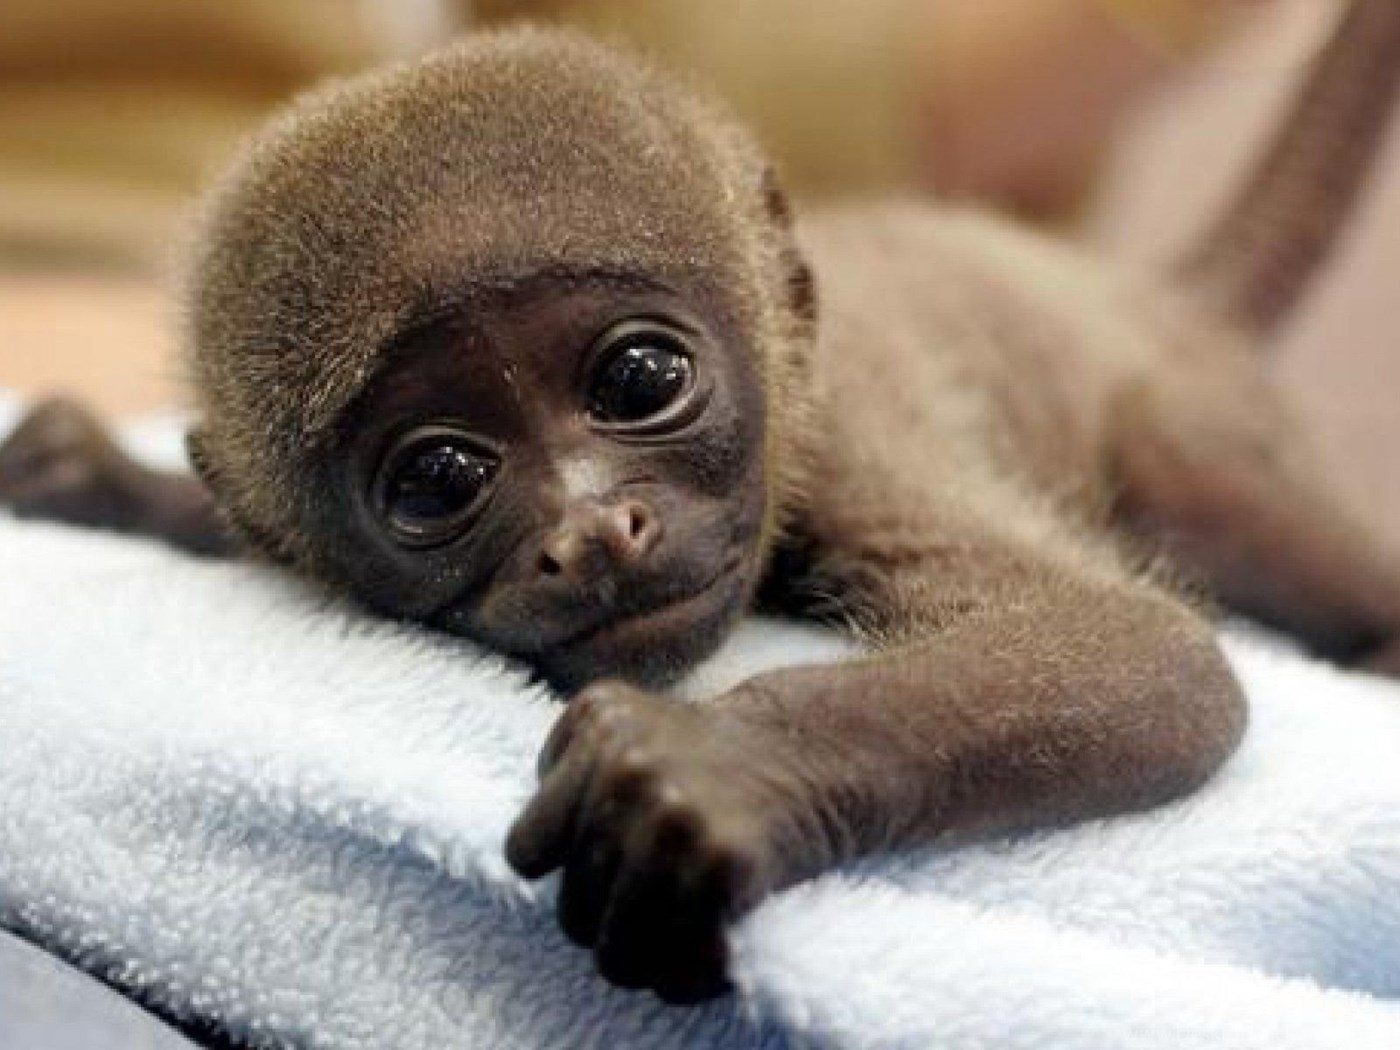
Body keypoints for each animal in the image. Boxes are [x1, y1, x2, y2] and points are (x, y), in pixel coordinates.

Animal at [3, 2, 1400, 1005]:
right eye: (440, 478)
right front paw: (117, 481)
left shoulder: (847, 441)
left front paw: (707, 770)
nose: (589, 533)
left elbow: (1149, 651)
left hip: (1192, 417)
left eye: (640, 378)